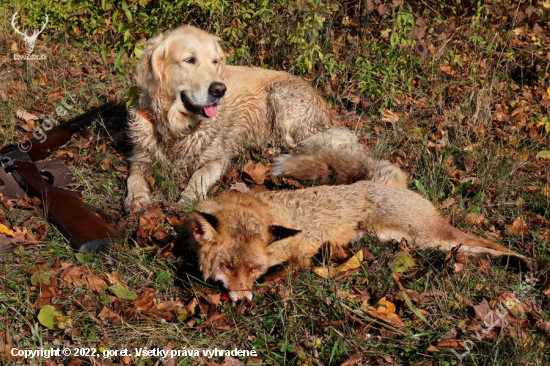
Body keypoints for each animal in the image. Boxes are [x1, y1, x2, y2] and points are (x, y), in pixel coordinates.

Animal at [124, 24, 354, 213]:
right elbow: (133, 176)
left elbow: (199, 176)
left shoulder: (219, 159)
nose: (219, 90)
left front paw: (186, 199)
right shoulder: (140, 156)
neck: (176, 127)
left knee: (299, 146)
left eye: (215, 61)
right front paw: (136, 199)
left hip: (282, 96)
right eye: (189, 60)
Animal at [189, 149, 536, 300]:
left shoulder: (300, 252)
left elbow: (281, 273)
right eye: (227, 267)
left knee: (488, 242)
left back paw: (526, 263)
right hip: (415, 241)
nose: (243, 301)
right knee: (475, 249)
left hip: (431, 233)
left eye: (252, 269)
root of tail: (376, 182)